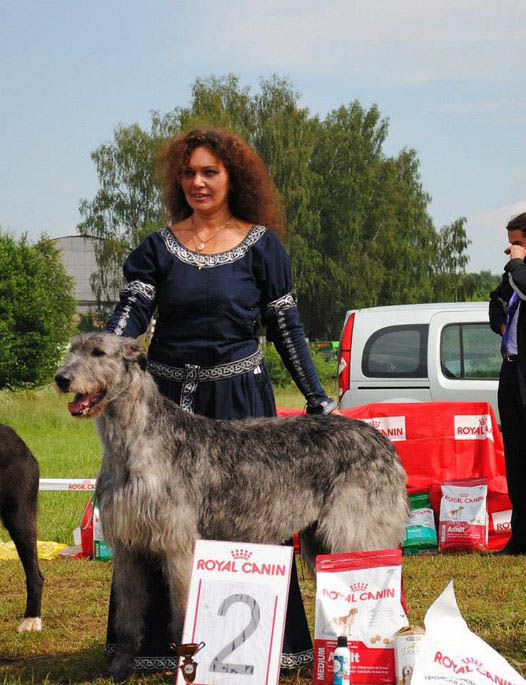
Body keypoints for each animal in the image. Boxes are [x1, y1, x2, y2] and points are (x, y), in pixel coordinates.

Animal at [55, 334, 408, 680]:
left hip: (356, 533)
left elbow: (183, 611)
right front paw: (121, 664)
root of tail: (381, 440)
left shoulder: (178, 546)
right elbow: (128, 611)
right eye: (72, 350)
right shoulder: (128, 545)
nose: (61, 378)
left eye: (98, 352)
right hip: (323, 540)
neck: (134, 442)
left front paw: (184, 665)